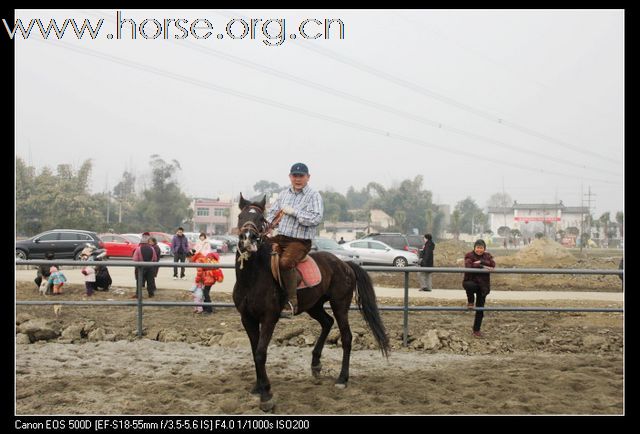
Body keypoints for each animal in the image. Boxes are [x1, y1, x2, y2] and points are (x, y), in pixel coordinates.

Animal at [232, 195, 388, 412]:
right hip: (314, 306)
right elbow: (255, 351)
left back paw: (342, 379)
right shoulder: (247, 318)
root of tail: (345, 264)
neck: (252, 277)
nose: (248, 239)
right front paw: (257, 387)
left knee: (346, 337)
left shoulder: (269, 318)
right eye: (240, 216)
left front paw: (267, 395)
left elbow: (261, 353)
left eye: (261, 218)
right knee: (327, 322)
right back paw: (316, 364)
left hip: (340, 305)